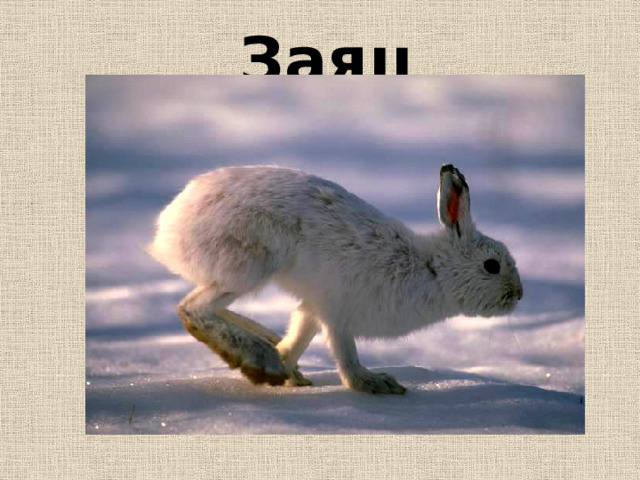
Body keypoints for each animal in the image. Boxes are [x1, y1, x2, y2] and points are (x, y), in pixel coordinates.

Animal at [149, 164, 523, 394]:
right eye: (492, 265)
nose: (519, 294)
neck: (432, 270)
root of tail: (170, 225)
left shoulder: (314, 308)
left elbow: (299, 336)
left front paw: (290, 373)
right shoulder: (338, 313)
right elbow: (346, 356)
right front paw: (374, 384)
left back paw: (268, 354)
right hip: (251, 263)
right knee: (192, 309)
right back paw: (258, 360)